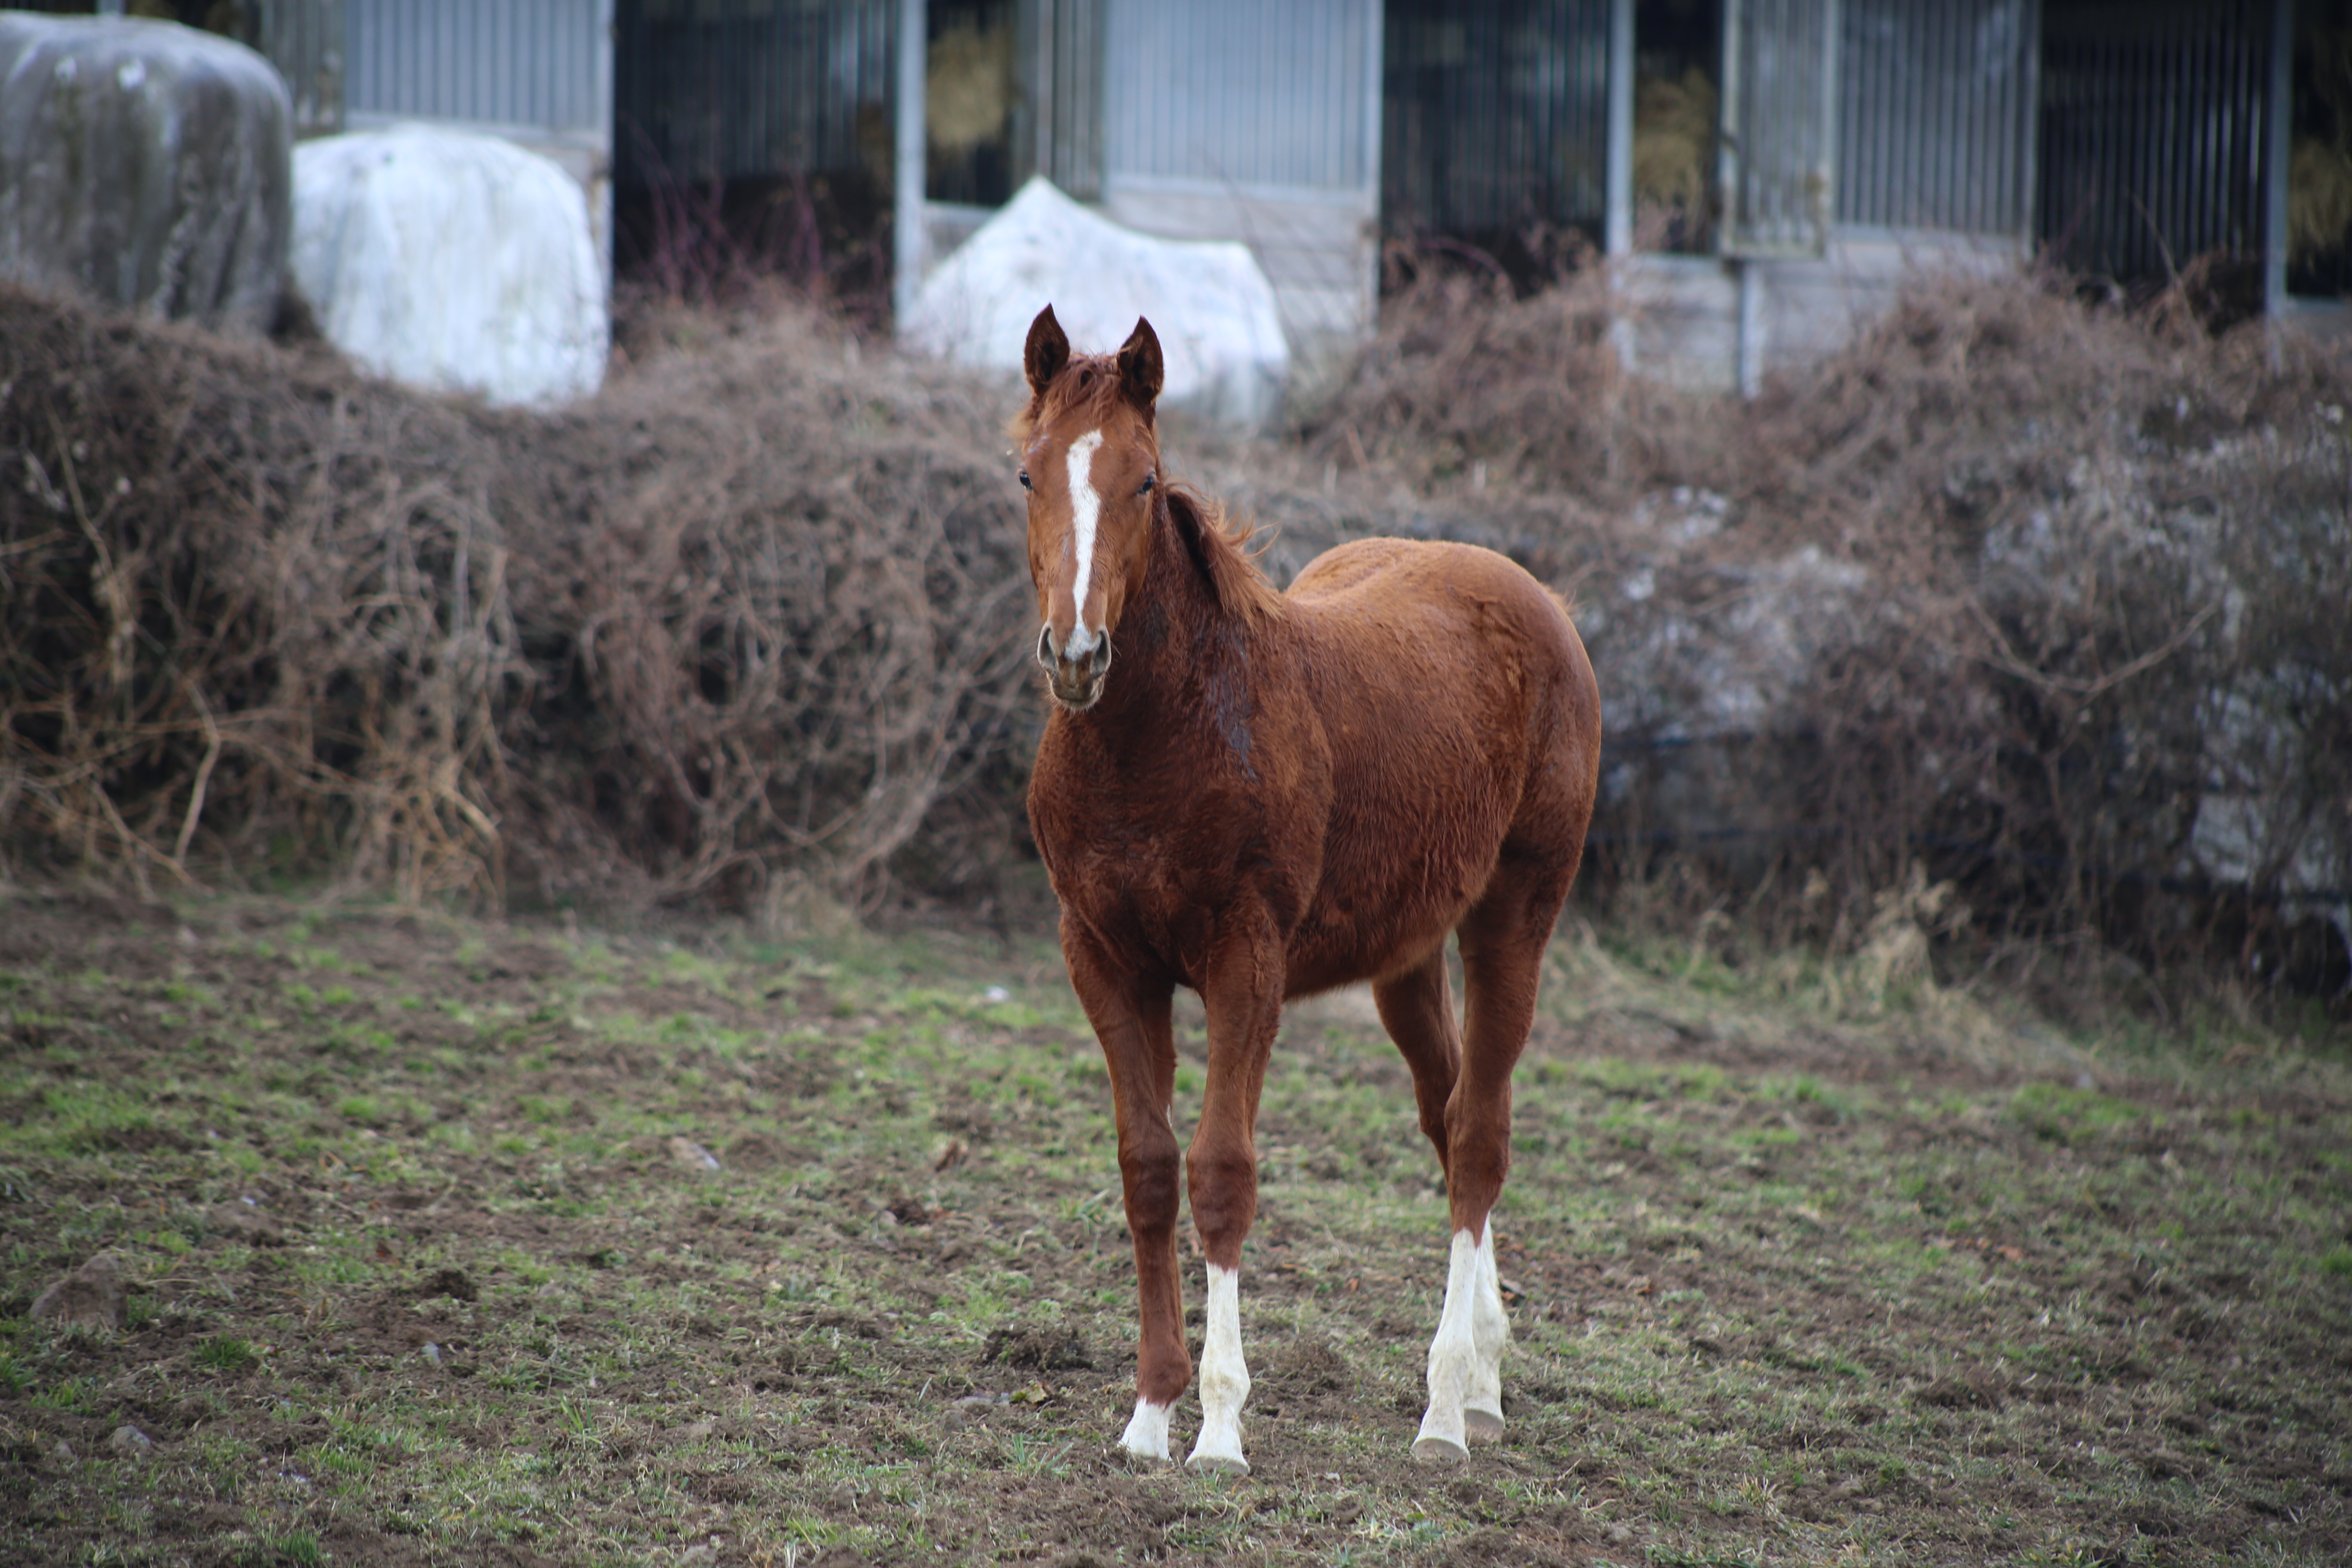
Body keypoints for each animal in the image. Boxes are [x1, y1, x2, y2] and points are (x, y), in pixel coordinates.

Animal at [1020, 305, 1608, 1476]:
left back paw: (1445, 1411)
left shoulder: (1244, 960)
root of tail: (1544, 601)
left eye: (1143, 480)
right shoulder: (1102, 958)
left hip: (1515, 915)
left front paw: (1218, 1428)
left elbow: (1221, 1173)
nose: (1076, 654)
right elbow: (1148, 1169)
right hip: (1405, 957)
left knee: (1480, 1136)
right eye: (1027, 474)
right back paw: (1483, 1382)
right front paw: (1148, 1417)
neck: (1163, 737)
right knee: (1448, 1116)